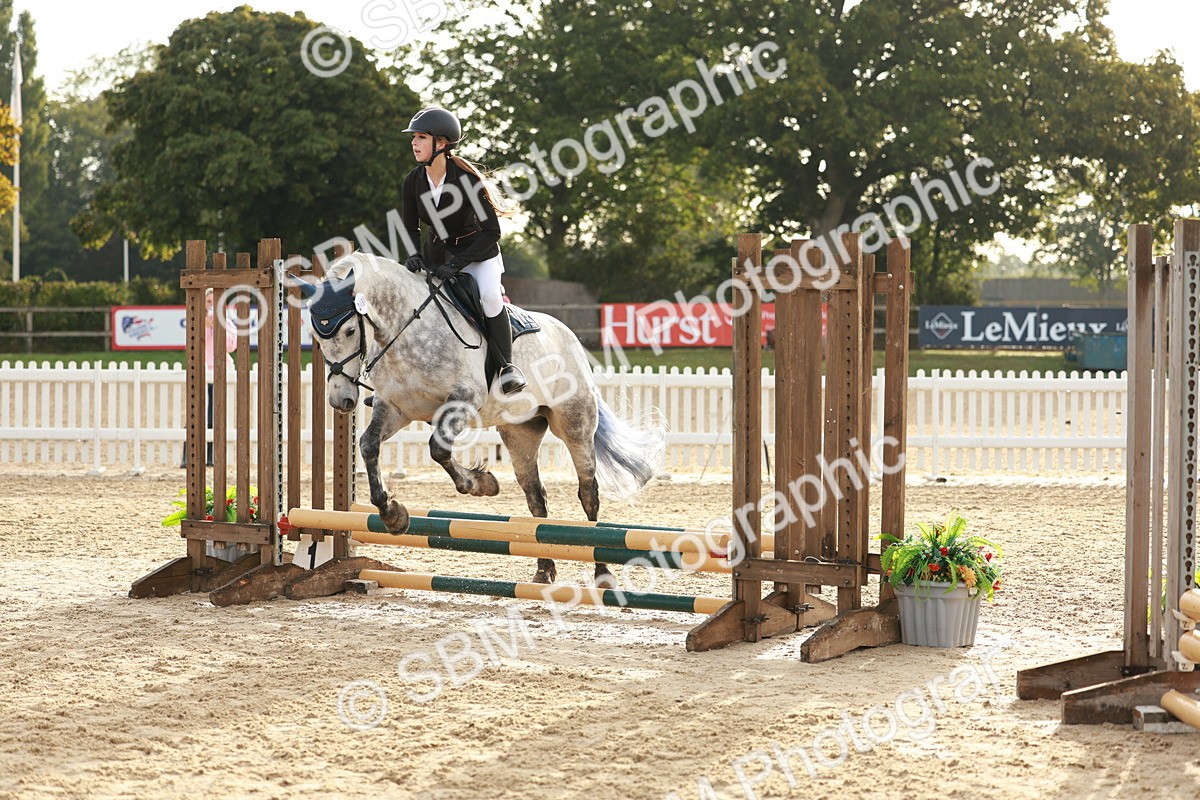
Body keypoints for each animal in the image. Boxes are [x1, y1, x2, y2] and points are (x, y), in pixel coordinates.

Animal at [297, 252, 664, 585]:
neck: (406, 331)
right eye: (316, 336)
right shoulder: (395, 408)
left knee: (588, 492)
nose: (341, 400)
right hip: (520, 433)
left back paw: (602, 572)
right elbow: (369, 445)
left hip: (574, 426)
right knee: (536, 497)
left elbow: (438, 450)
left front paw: (480, 484)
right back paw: (544, 569)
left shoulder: (462, 401)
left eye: (348, 330)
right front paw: (392, 515)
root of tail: (569, 337)